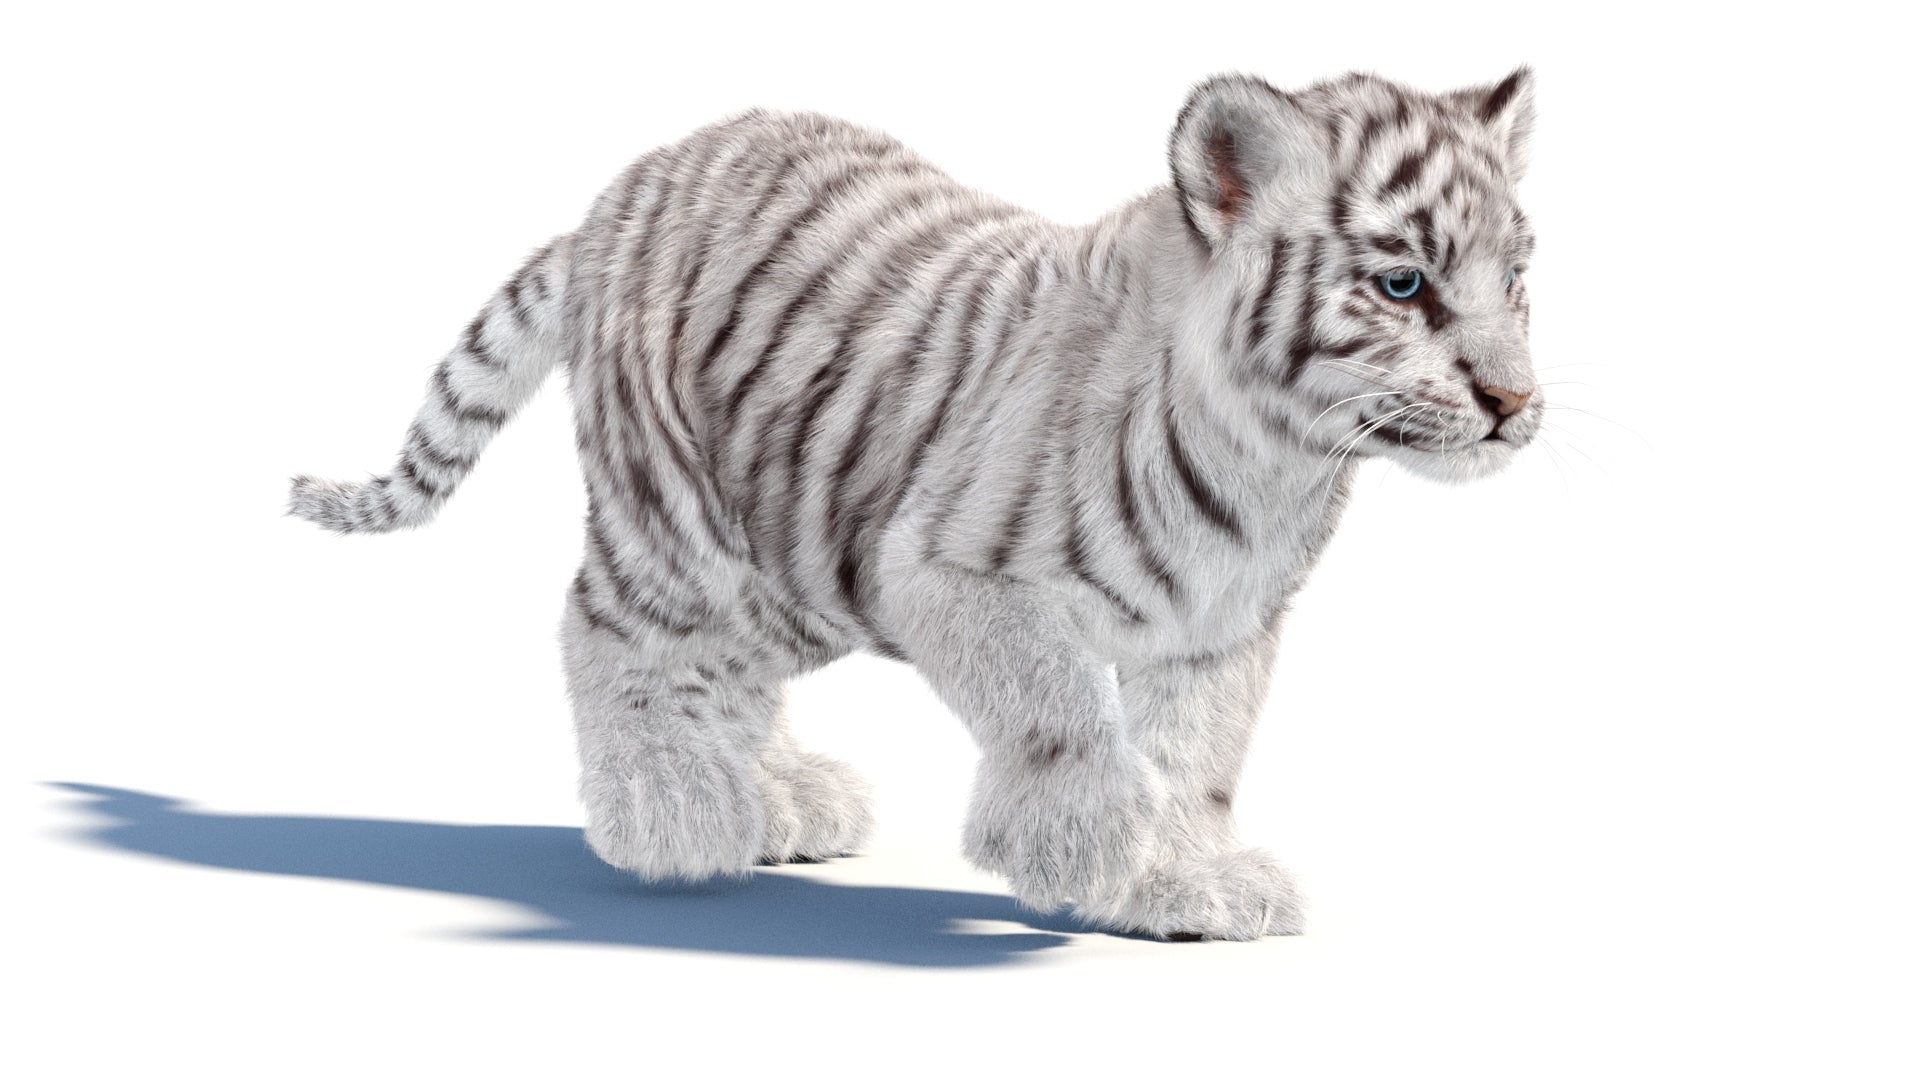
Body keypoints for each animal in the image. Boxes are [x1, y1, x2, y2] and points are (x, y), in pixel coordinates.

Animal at [289, 68, 1542, 940]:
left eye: (1517, 278)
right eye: (1403, 285)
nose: (1516, 402)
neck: (1278, 460)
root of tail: (622, 194)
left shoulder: (1219, 629)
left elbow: (1198, 753)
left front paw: (1183, 880)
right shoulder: (951, 574)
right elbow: (1063, 715)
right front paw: (1085, 848)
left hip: (791, 550)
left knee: (723, 668)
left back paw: (778, 796)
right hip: (685, 522)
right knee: (611, 632)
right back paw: (674, 809)